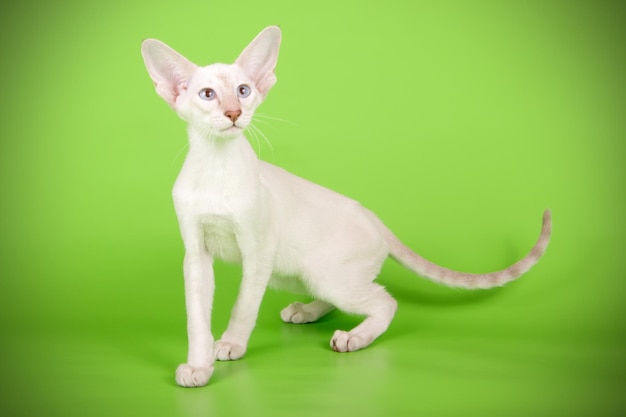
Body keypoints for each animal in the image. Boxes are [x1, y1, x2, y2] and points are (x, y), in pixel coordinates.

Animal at [141, 26, 552, 386]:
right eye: (207, 94)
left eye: (243, 91)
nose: (233, 113)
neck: (216, 165)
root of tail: (374, 217)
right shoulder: (196, 253)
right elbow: (196, 318)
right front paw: (199, 366)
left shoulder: (257, 250)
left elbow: (244, 306)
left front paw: (230, 344)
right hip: (298, 273)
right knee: (345, 297)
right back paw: (305, 311)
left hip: (325, 274)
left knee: (384, 301)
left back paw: (354, 337)